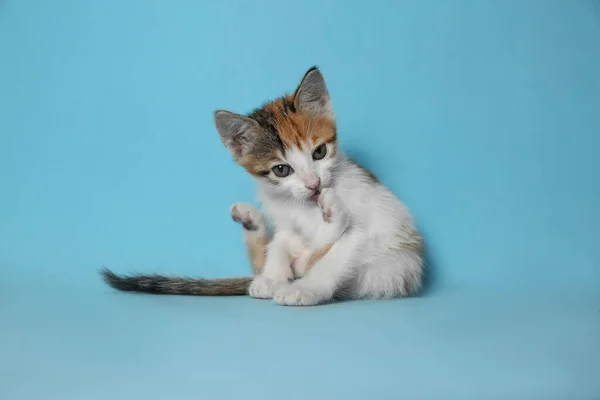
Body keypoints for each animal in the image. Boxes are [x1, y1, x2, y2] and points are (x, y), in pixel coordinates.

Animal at [101, 66, 424, 306]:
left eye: (319, 152)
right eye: (281, 170)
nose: (314, 184)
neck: (305, 209)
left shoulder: (368, 230)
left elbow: (332, 258)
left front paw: (305, 289)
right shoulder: (284, 219)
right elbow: (280, 243)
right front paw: (272, 276)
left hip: (389, 268)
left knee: (314, 257)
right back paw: (253, 226)